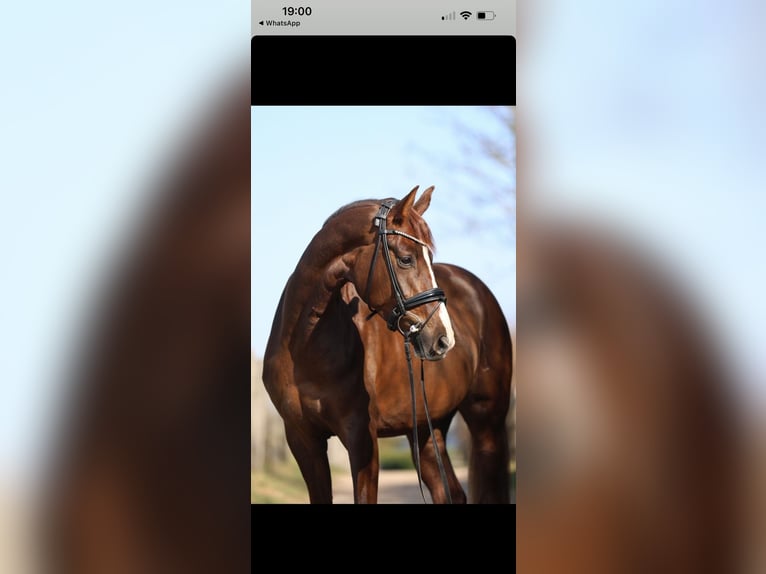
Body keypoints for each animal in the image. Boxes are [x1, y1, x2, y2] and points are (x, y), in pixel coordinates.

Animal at [262, 185, 513, 503]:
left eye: (430, 259)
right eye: (406, 258)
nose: (444, 338)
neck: (304, 350)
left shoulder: (362, 438)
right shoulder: (302, 439)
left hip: (487, 422)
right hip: (427, 429)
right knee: (450, 493)